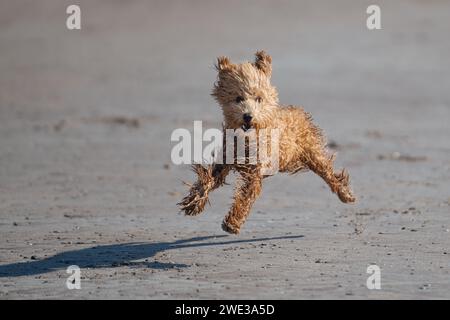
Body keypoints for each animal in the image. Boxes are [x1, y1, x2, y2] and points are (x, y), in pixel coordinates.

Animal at [178, 51, 356, 234]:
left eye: (258, 98)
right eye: (238, 98)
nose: (248, 116)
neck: (247, 138)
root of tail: (298, 112)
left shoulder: (255, 171)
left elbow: (245, 197)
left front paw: (232, 222)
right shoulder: (225, 159)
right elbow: (208, 179)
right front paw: (194, 203)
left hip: (311, 152)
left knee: (328, 172)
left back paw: (345, 194)